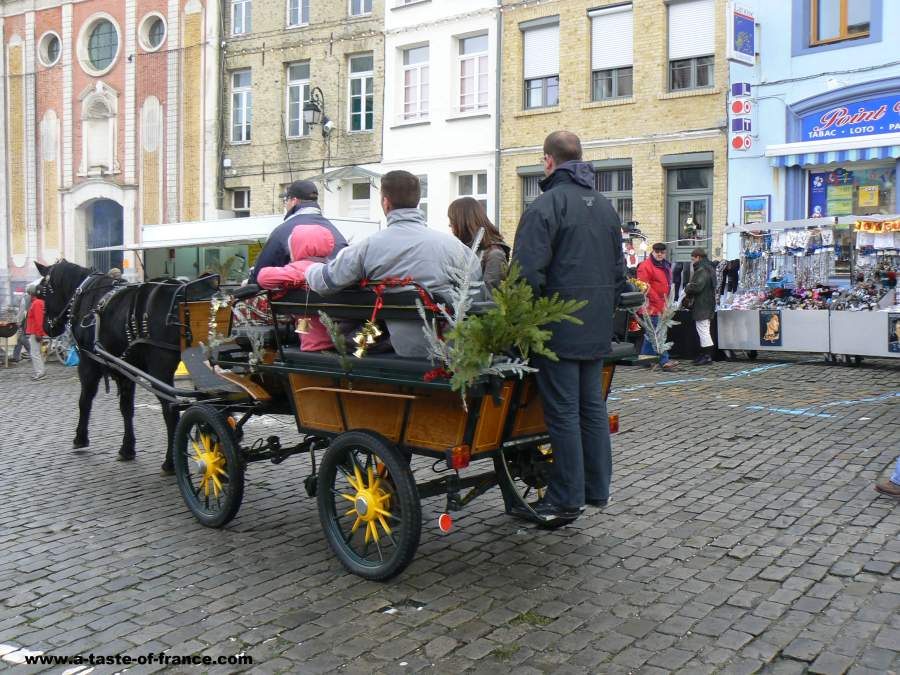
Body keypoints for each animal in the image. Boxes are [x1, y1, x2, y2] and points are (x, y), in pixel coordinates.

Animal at [36, 262, 205, 472]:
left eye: (42, 292)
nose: (46, 327)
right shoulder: (125, 369)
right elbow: (126, 408)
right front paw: (127, 448)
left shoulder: (88, 362)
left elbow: (85, 400)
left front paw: (80, 438)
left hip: (160, 370)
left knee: (171, 410)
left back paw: (170, 462)